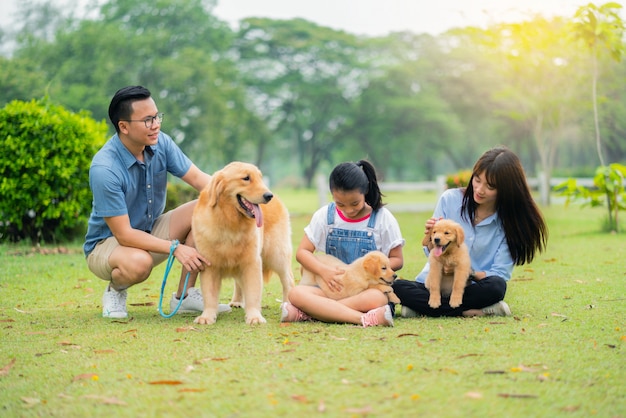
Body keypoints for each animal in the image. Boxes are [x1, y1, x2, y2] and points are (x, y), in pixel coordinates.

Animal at [191, 162, 294, 324]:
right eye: (246, 178)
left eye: (260, 177)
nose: (268, 195)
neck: (229, 221)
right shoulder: (209, 264)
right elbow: (210, 294)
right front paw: (207, 316)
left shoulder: (252, 262)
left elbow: (253, 292)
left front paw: (254, 317)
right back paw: (237, 301)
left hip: (276, 255)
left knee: (288, 280)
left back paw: (287, 304)